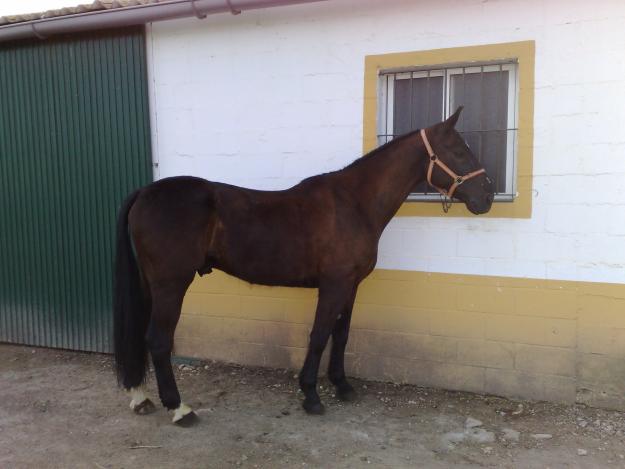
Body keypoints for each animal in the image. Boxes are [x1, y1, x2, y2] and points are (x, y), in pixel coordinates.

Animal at [112, 106, 492, 424]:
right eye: (459, 151)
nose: (487, 196)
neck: (354, 204)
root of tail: (145, 192)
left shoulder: (351, 286)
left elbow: (341, 334)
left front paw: (343, 386)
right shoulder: (334, 284)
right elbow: (320, 334)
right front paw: (311, 395)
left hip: (152, 285)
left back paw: (141, 397)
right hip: (172, 284)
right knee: (159, 339)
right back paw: (179, 408)